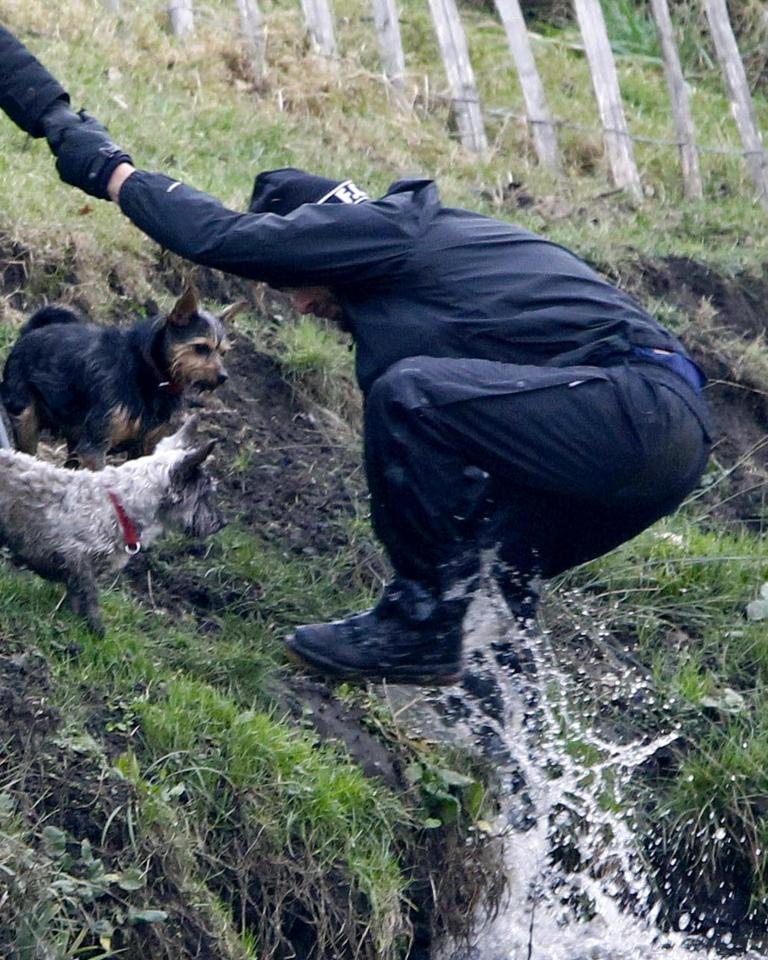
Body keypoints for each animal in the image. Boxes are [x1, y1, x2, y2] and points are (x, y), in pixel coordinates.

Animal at [0, 420, 222, 636]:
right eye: (204, 495)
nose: (222, 522)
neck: (121, 506)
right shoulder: (77, 561)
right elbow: (89, 597)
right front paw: (96, 630)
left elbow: (76, 598)